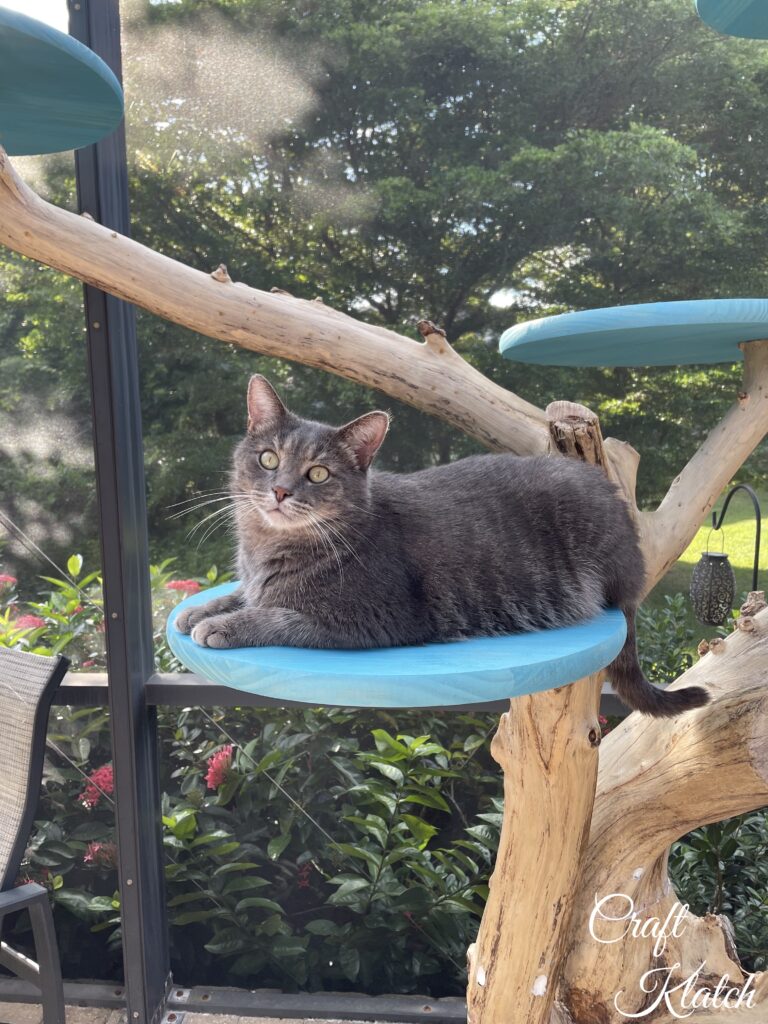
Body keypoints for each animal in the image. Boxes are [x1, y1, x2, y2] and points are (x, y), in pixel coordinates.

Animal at [177, 372, 712, 716]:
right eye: (268, 458)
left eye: (318, 473)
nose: (280, 490)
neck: (267, 546)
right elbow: (245, 593)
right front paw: (200, 609)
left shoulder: (374, 620)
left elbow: (281, 616)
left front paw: (224, 624)